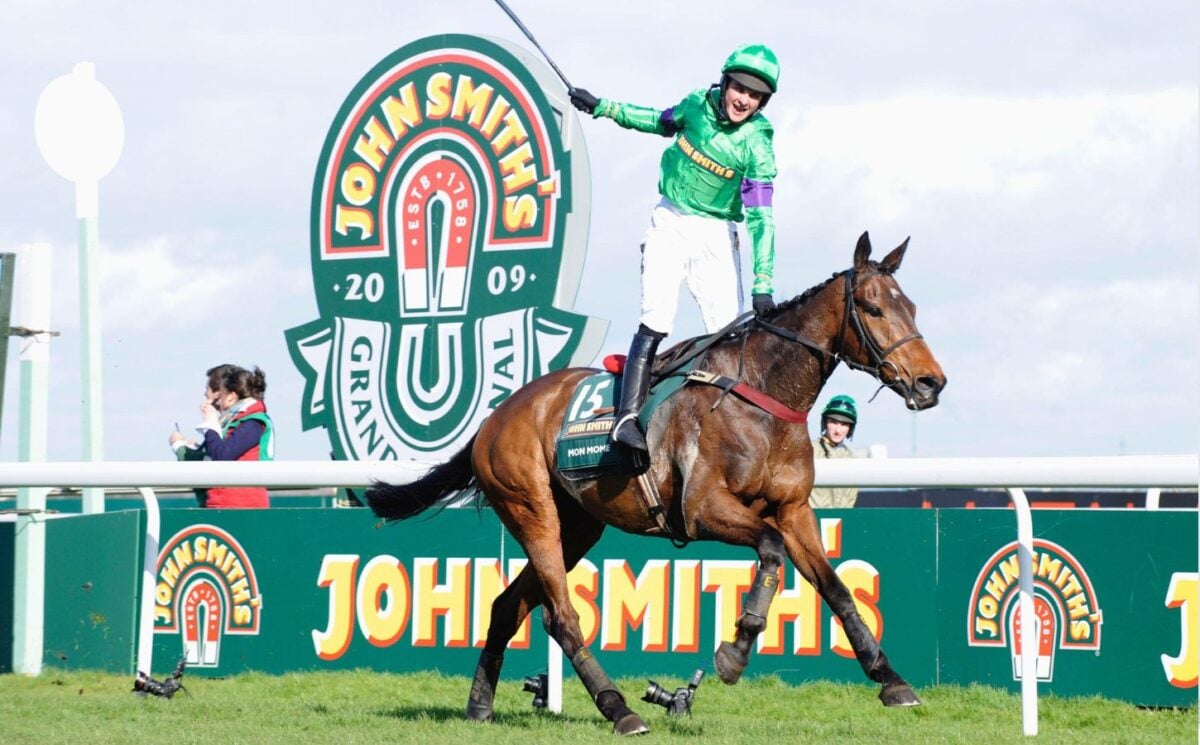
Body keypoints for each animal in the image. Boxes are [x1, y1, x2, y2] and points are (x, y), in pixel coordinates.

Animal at [364, 232, 945, 734]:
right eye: (873, 308)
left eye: (913, 308)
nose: (930, 383)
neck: (760, 395)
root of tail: (493, 418)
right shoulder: (704, 508)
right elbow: (770, 550)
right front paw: (736, 649)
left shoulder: (795, 509)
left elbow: (835, 588)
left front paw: (890, 680)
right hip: (532, 510)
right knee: (561, 616)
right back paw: (618, 708)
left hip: (577, 527)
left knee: (509, 606)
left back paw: (480, 705)